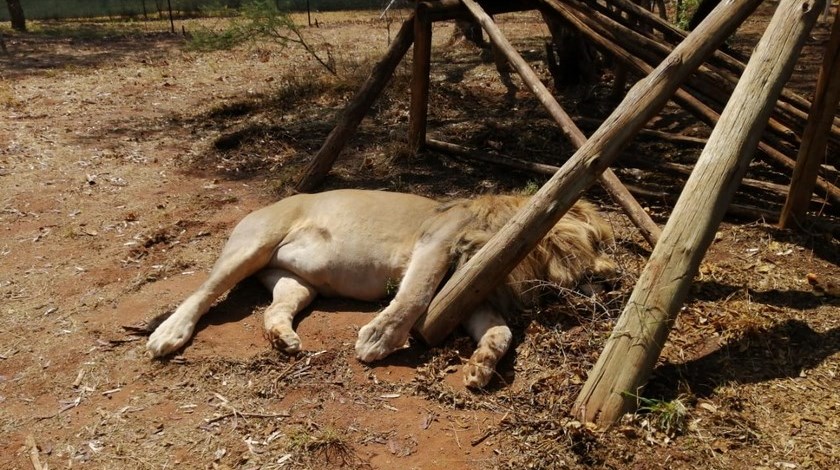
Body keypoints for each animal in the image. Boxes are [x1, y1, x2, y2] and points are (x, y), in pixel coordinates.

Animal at [146, 189, 617, 388]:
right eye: (600, 242)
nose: (615, 276)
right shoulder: (438, 243)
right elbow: (414, 294)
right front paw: (377, 340)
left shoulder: (469, 293)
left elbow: (499, 332)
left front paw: (480, 367)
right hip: (252, 245)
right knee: (202, 293)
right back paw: (169, 333)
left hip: (296, 282)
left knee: (274, 309)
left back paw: (284, 340)